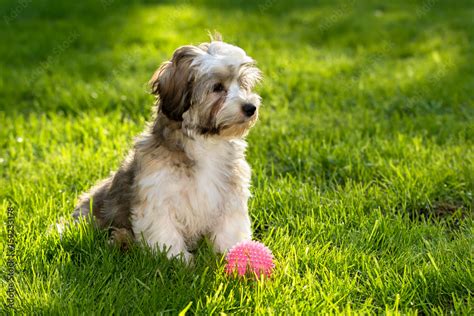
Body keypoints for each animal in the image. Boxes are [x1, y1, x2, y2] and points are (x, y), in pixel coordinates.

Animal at [72, 35, 262, 262]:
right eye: (217, 87)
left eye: (242, 84)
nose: (251, 108)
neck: (206, 142)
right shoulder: (158, 193)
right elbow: (164, 230)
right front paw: (177, 259)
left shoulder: (229, 193)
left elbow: (230, 227)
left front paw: (234, 253)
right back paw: (121, 239)